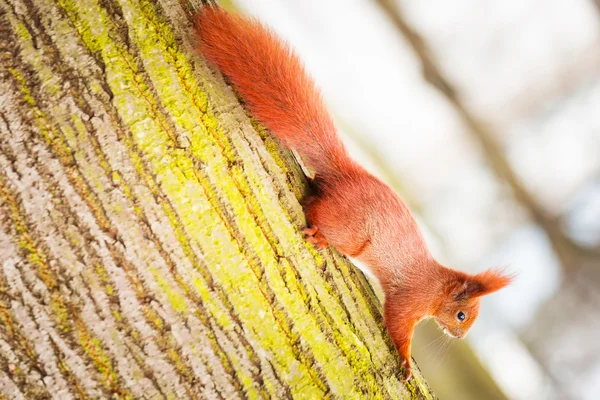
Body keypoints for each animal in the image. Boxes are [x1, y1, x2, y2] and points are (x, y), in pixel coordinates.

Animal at [196, 7, 510, 382]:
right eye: (462, 315)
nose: (460, 337)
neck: (436, 287)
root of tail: (344, 172)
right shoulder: (409, 299)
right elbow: (398, 326)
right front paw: (406, 361)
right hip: (352, 229)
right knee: (316, 208)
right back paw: (319, 234)